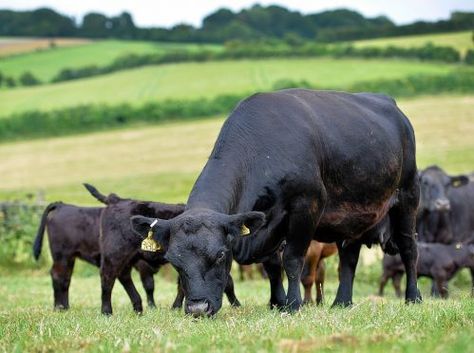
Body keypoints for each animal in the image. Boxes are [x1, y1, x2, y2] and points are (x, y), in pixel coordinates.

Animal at [82, 184, 241, 314]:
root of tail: (116, 199)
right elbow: (227, 282)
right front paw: (237, 305)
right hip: (114, 253)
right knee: (107, 277)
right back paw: (107, 311)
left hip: (128, 257)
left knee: (123, 275)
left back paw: (138, 308)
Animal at [131, 88, 420, 316]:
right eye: (174, 260)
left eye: (221, 254)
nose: (197, 308)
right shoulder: (267, 224)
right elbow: (272, 266)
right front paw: (277, 302)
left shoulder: (306, 206)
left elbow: (291, 259)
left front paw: (293, 305)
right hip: (353, 215)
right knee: (348, 257)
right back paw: (341, 302)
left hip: (407, 197)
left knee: (409, 249)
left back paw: (413, 297)